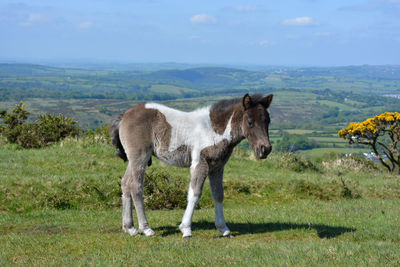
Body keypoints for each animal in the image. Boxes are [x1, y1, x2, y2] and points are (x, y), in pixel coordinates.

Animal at [109, 93, 274, 239]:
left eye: (268, 121)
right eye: (250, 122)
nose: (265, 149)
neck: (213, 131)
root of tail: (124, 115)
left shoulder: (217, 167)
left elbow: (218, 195)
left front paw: (224, 229)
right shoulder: (200, 164)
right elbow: (195, 193)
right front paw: (186, 229)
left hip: (133, 159)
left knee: (125, 183)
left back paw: (130, 228)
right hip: (140, 157)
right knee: (136, 186)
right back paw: (146, 229)